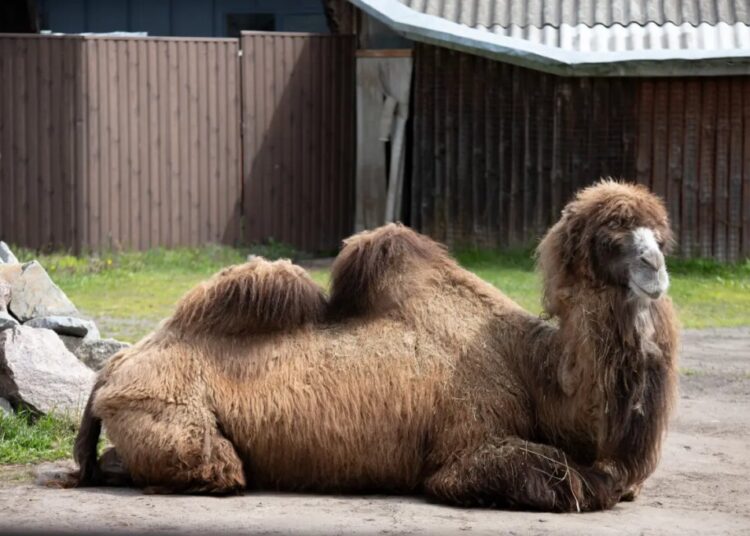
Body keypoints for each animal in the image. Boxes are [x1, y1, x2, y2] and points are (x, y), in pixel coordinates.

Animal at [71, 180, 678, 512]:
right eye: (611, 238)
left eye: (659, 235)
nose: (655, 267)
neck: (537, 373)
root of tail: (110, 371)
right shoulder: (467, 449)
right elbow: (572, 482)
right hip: (171, 415)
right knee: (218, 467)